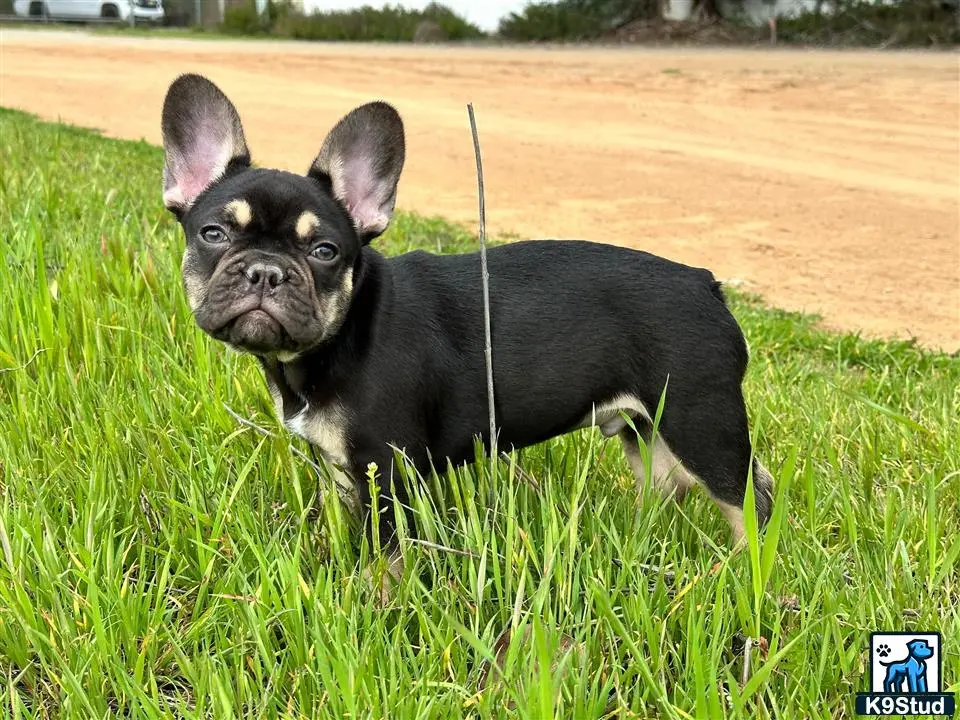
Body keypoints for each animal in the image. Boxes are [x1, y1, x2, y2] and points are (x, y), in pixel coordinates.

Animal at [158, 74, 772, 568]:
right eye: (213, 234)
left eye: (325, 251)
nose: (265, 271)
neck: (342, 333)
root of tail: (703, 281)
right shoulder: (345, 470)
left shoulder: (388, 471)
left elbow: (387, 555)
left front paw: (379, 605)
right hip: (648, 428)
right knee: (671, 484)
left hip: (700, 420)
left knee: (749, 496)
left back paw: (748, 573)